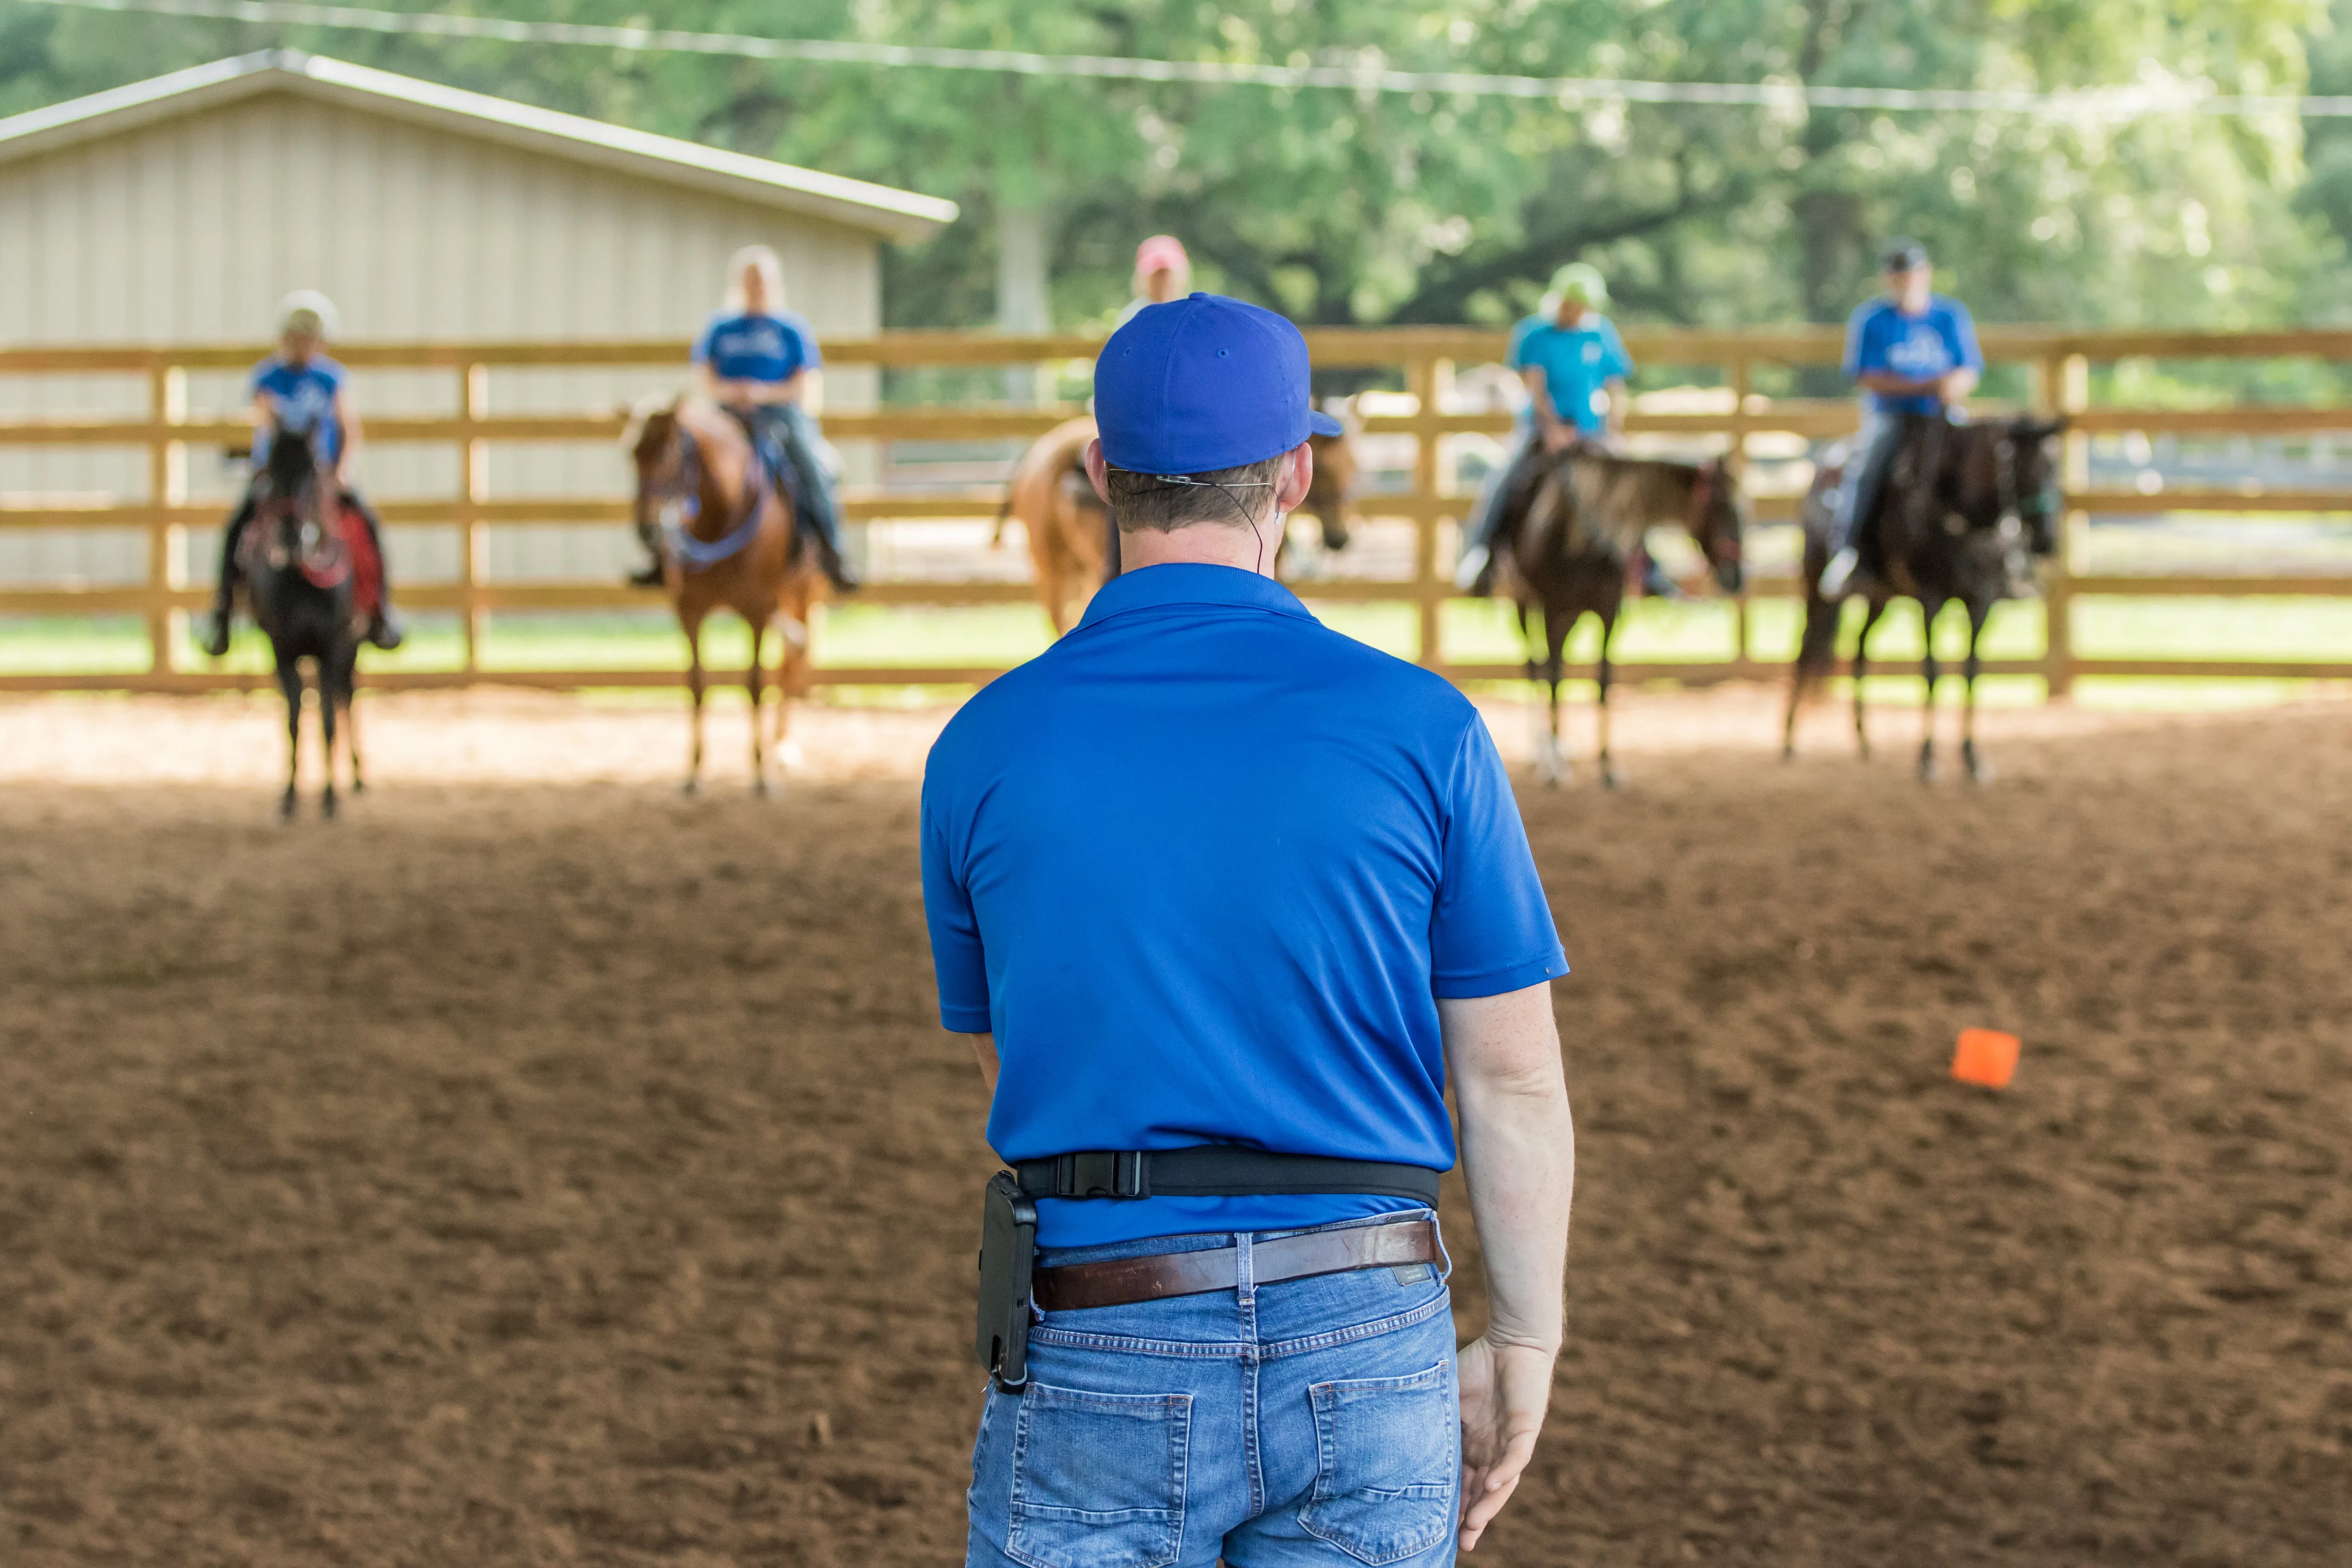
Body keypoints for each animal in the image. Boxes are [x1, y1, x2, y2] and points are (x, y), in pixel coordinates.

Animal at [245, 423, 367, 827]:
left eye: (314, 468)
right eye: (270, 468)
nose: (288, 537)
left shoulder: (334, 646)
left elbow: (328, 721)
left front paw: (329, 799)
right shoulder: (282, 649)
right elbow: (294, 722)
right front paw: (289, 798)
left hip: (351, 646)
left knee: (347, 697)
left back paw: (356, 775)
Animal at [630, 402, 833, 799]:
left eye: (671, 454)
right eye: (634, 455)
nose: (647, 529)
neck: (719, 517)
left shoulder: (758, 610)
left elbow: (754, 685)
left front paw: (761, 775)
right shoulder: (689, 612)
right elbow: (697, 684)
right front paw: (694, 774)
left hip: (800, 593)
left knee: (792, 661)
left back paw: (781, 748)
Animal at [1505, 453, 1750, 799]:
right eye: (1722, 506)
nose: (1737, 577)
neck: (1583, 539)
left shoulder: (1608, 615)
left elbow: (1603, 685)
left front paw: (1608, 768)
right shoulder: (1553, 610)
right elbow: (1552, 680)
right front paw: (1553, 769)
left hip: (1569, 618)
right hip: (1524, 603)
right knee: (1534, 667)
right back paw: (1540, 752)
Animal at [1778, 416, 2060, 785]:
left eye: (2056, 467)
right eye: (2023, 467)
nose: (2048, 541)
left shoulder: (1982, 602)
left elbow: (1972, 674)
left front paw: (1972, 758)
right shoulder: (1931, 597)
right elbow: (1932, 672)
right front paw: (1927, 758)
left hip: (1880, 597)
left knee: (1859, 650)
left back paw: (1864, 740)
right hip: (1816, 584)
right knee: (1807, 647)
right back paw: (1789, 741)